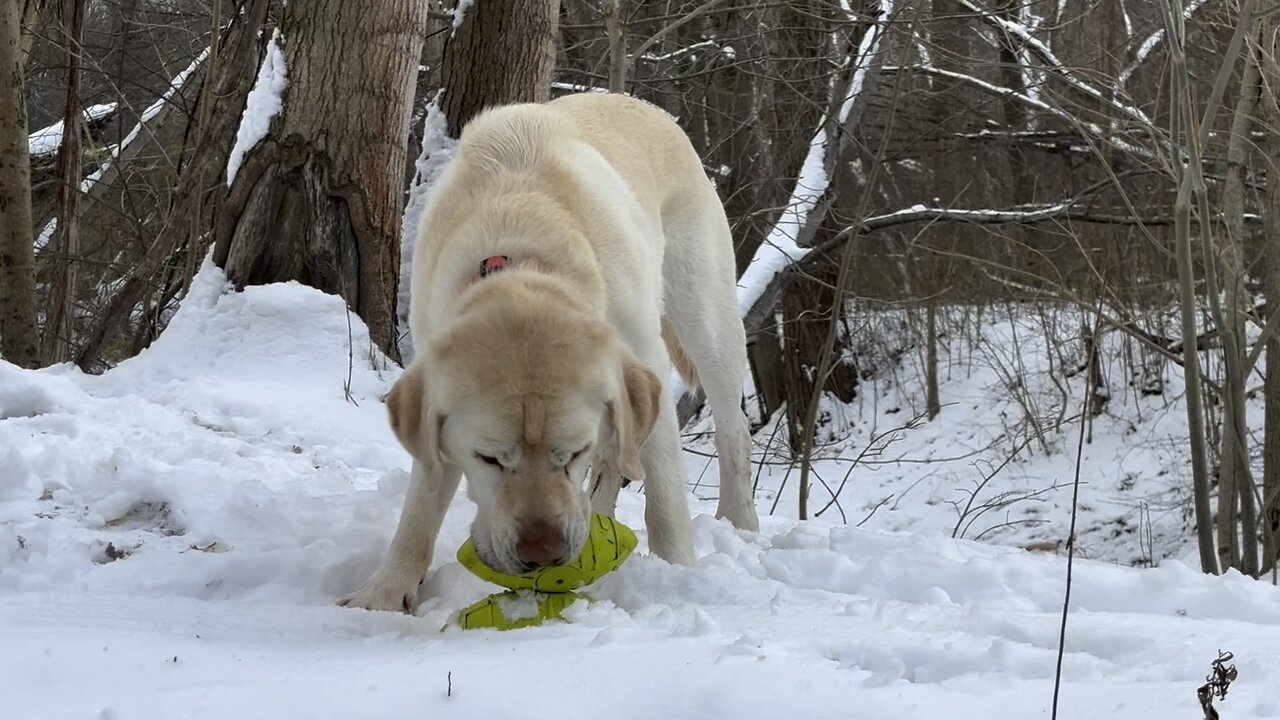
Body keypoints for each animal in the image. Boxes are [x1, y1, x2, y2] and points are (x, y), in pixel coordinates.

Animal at [337, 92, 757, 609]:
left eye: (572, 452)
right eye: (489, 459)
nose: (542, 553)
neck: (523, 250)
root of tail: (649, 108)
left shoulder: (645, 364)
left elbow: (664, 497)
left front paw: (676, 573)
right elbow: (422, 502)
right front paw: (383, 593)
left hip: (706, 317)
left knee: (733, 431)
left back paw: (741, 524)